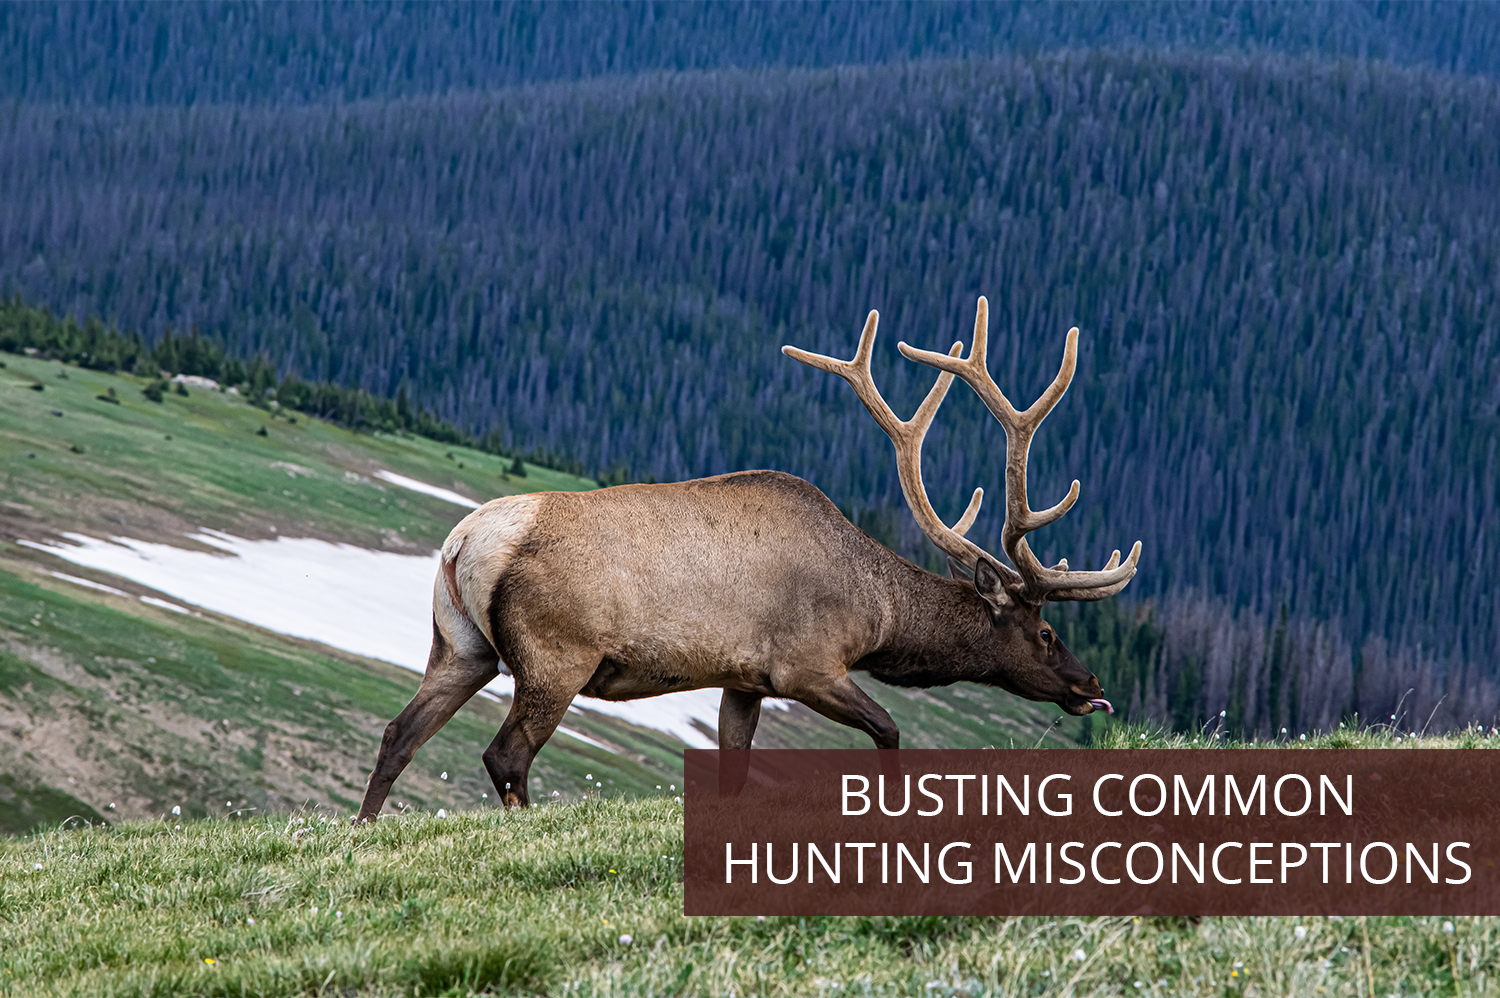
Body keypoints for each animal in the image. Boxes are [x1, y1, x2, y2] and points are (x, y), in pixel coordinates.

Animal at [357, 295, 1140, 816]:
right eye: (1046, 632)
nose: (1091, 683)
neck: (878, 614)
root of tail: (464, 542)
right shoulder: (807, 664)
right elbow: (889, 729)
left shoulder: (744, 679)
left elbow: (736, 763)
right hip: (556, 652)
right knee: (506, 754)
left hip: (459, 645)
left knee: (399, 733)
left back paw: (364, 829)